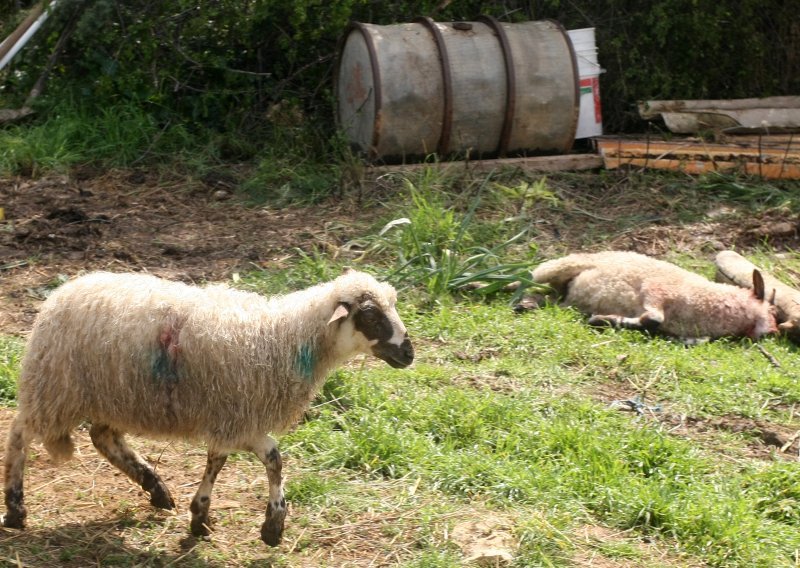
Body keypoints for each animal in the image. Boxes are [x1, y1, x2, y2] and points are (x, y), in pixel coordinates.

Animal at [0, 270, 412, 544]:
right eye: (371, 315)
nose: (409, 353)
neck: (286, 338)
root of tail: (63, 291)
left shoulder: (235, 417)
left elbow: (234, 459)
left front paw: (208, 516)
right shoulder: (237, 416)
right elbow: (261, 459)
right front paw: (266, 525)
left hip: (111, 394)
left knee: (103, 437)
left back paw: (156, 488)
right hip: (55, 388)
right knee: (20, 435)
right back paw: (15, 510)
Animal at [532, 251, 776, 340]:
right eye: (771, 311)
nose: (773, 332)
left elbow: (651, 323)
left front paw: (605, 320)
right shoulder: (656, 290)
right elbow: (654, 318)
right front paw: (601, 320)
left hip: (561, 295)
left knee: (548, 300)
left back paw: (528, 303)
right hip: (564, 265)